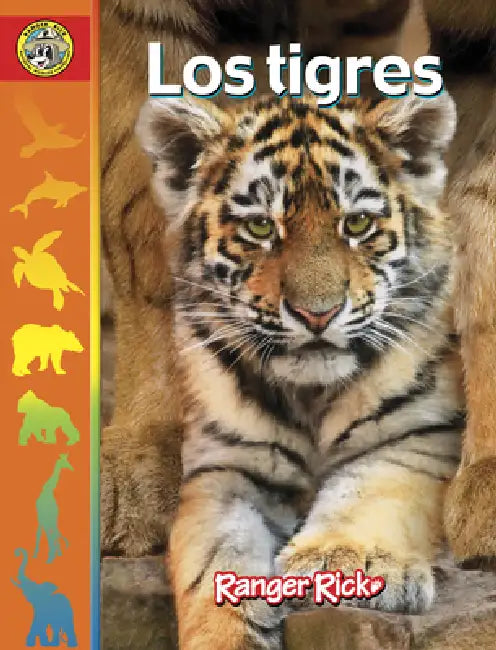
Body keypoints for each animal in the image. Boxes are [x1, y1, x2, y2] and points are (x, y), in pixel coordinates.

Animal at [135, 90, 463, 649]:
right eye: (260, 227)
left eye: (356, 224)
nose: (317, 315)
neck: (311, 394)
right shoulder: (225, 468)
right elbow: (215, 557)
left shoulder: (417, 435)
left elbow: (370, 492)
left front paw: (341, 560)